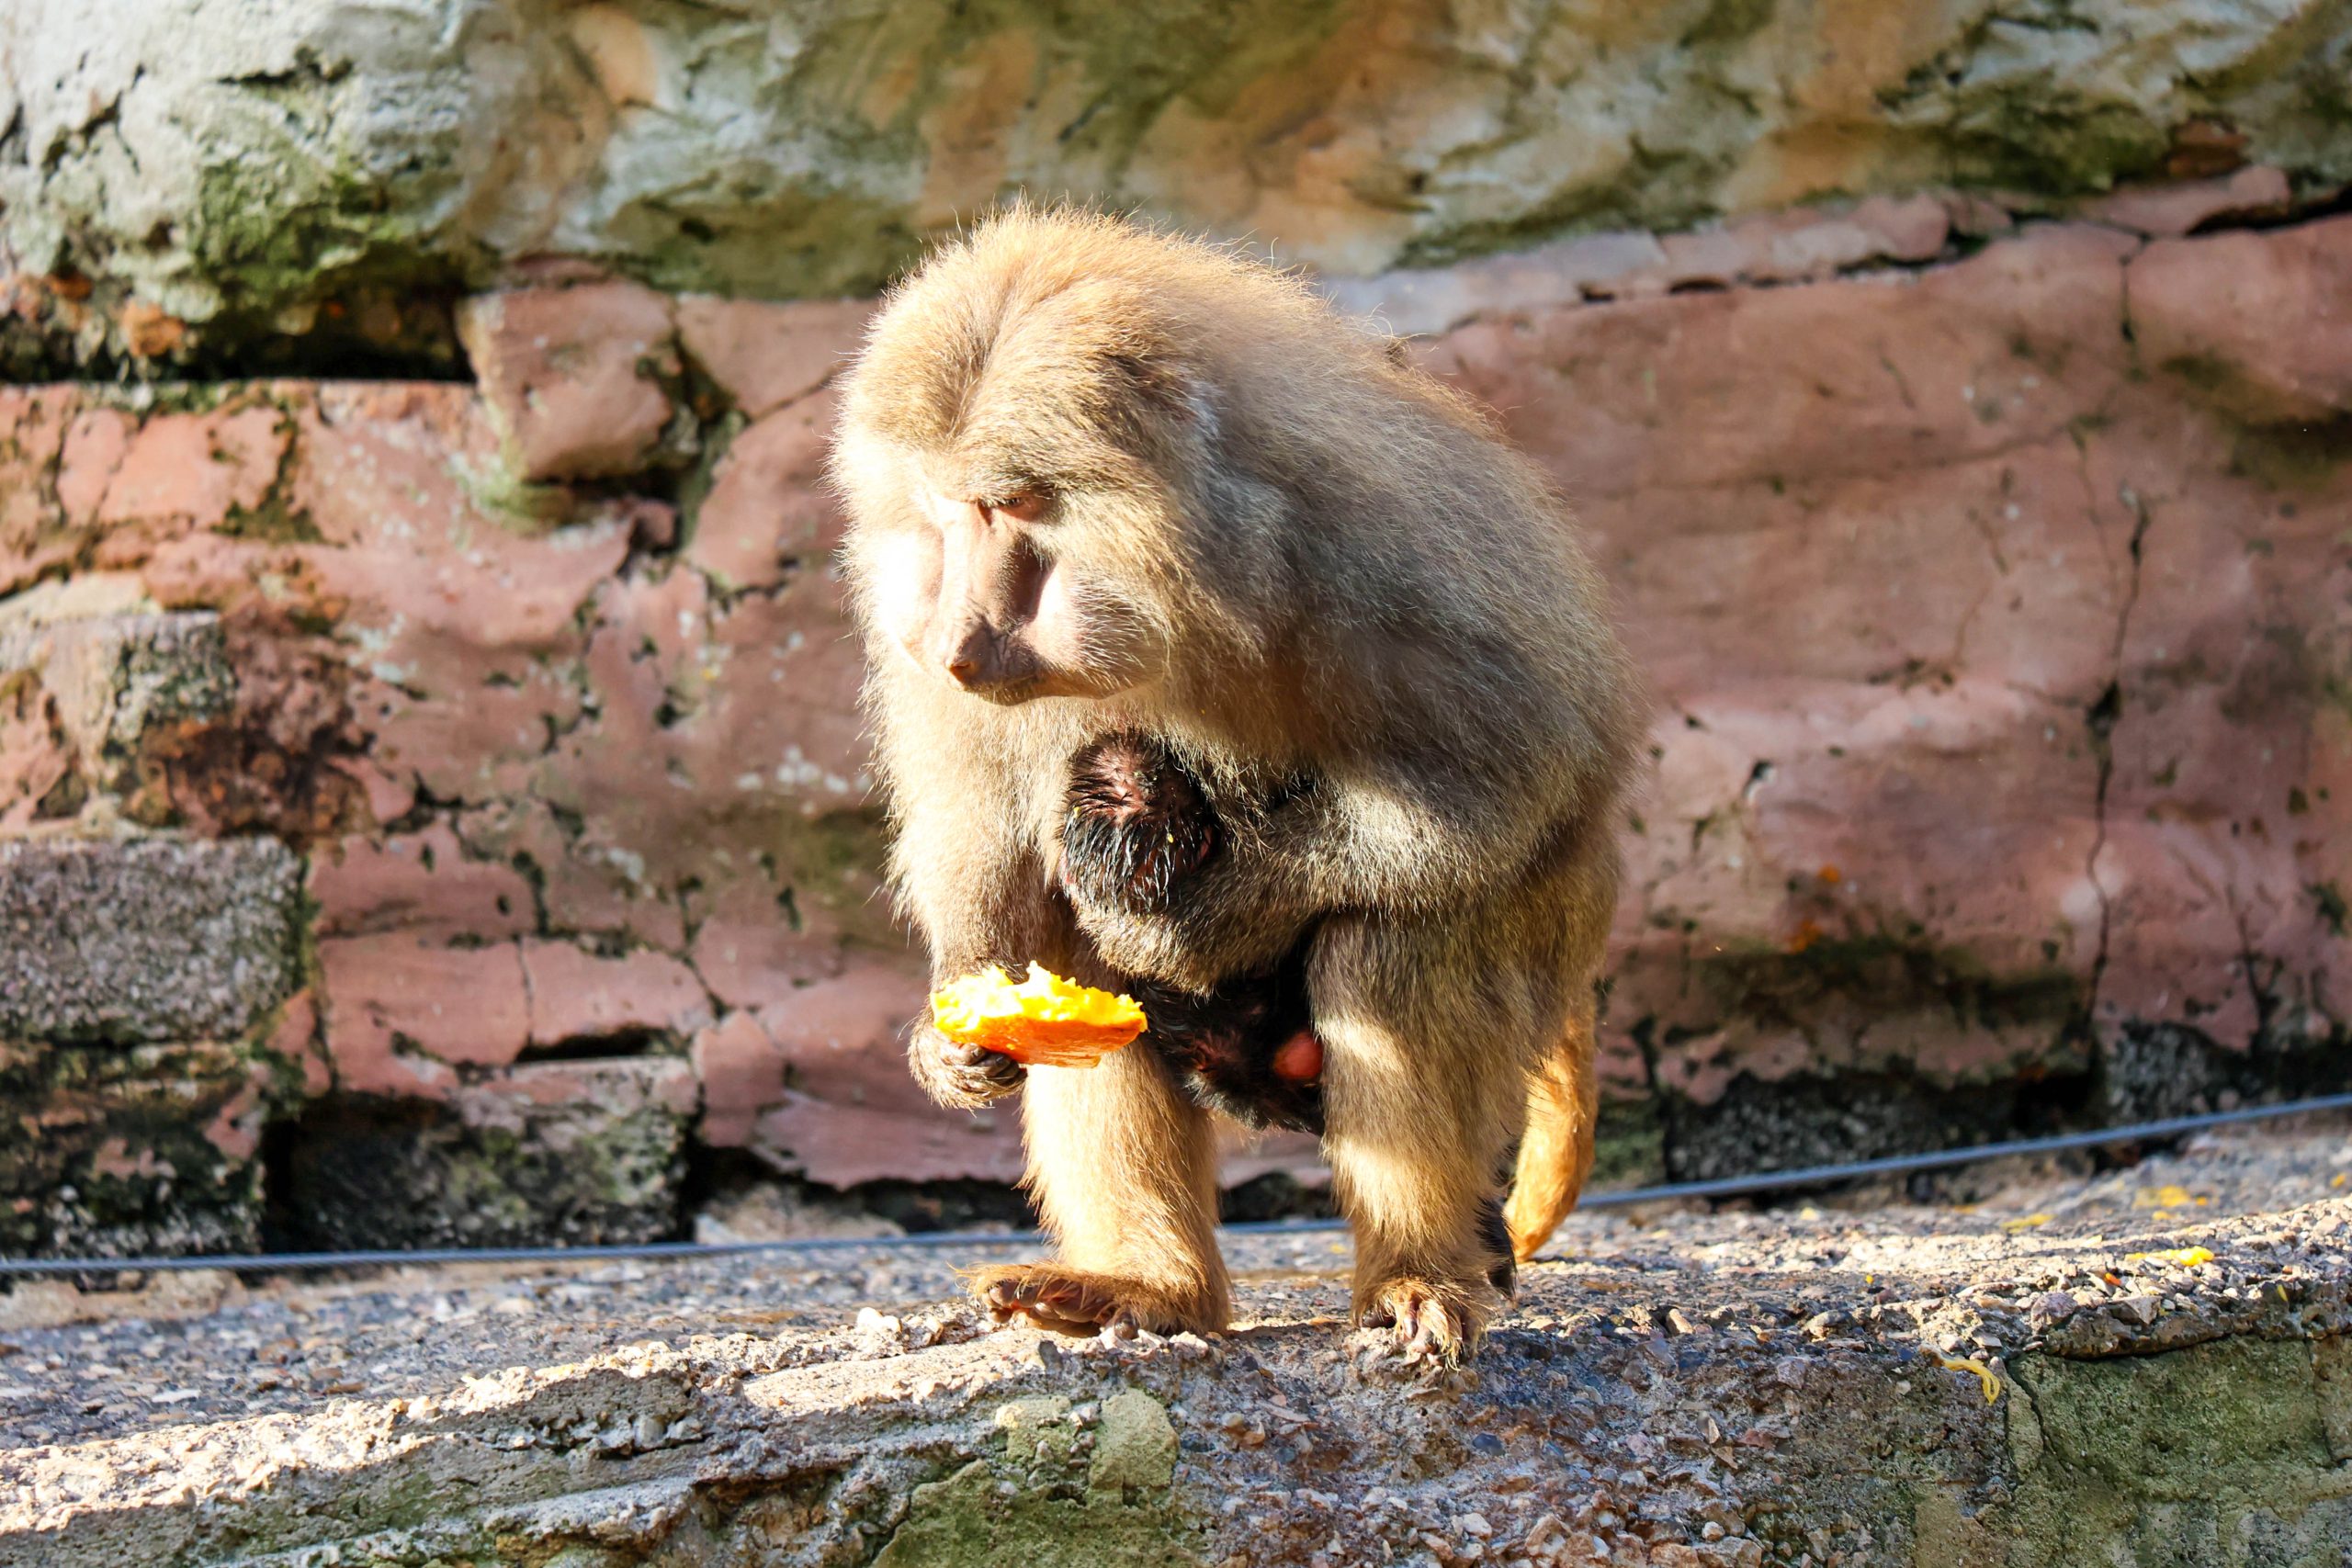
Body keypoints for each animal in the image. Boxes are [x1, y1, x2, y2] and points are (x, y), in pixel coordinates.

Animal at [831, 203, 1642, 1362]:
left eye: (1010, 505)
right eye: (946, 512)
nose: (956, 636)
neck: (1186, 577)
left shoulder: (1382, 550)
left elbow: (1503, 778)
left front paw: (1205, 916)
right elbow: (977, 811)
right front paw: (961, 1013)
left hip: (1547, 944)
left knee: (1396, 941)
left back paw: (1414, 1269)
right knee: (1083, 972)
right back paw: (1146, 1287)